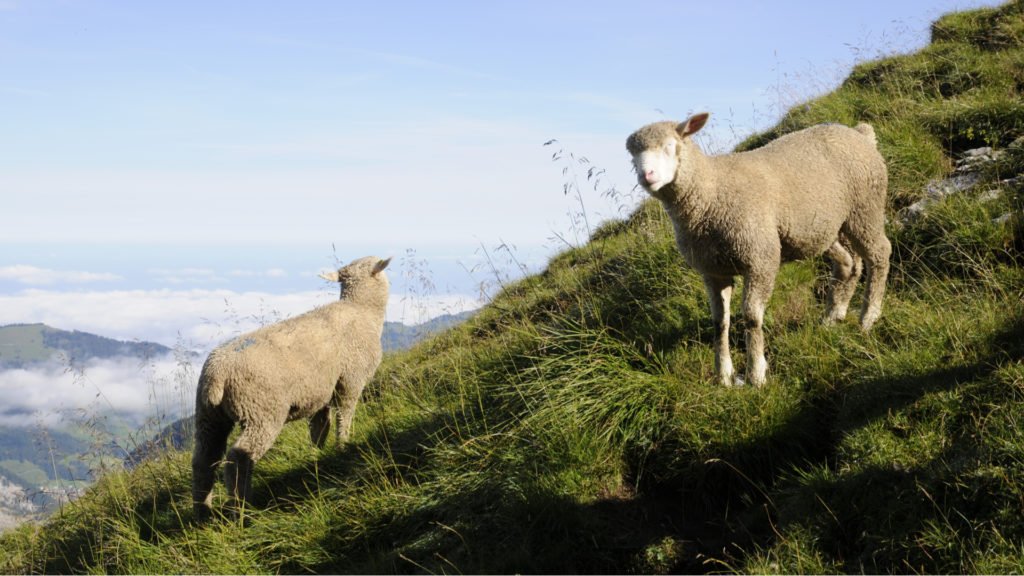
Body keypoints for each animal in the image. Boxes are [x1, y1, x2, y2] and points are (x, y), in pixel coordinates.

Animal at [190, 253, 389, 518]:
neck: (362, 309)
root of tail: (217, 374)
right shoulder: (350, 380)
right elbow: (344, 416)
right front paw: (343, 445)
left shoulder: (320, 393)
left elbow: (319, 428)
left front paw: (317, 455)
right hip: (261, 412)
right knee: (237, 458)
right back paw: (241, 509)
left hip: (209, 417)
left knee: (203, 461)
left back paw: (203, 514)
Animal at [622, 111, 888, 385]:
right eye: (633, 157)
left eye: (669, 146)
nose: (647, 176)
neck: (711, 193)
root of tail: (861, 133)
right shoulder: (713, 271)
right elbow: (720, 322)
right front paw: (723, 375)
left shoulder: (760, 258)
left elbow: (751, 317)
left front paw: (756, 374)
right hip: (828, 226)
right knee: (849, 263)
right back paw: (833, 316)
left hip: (865, 207)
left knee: (880, 254)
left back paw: (868, 317)